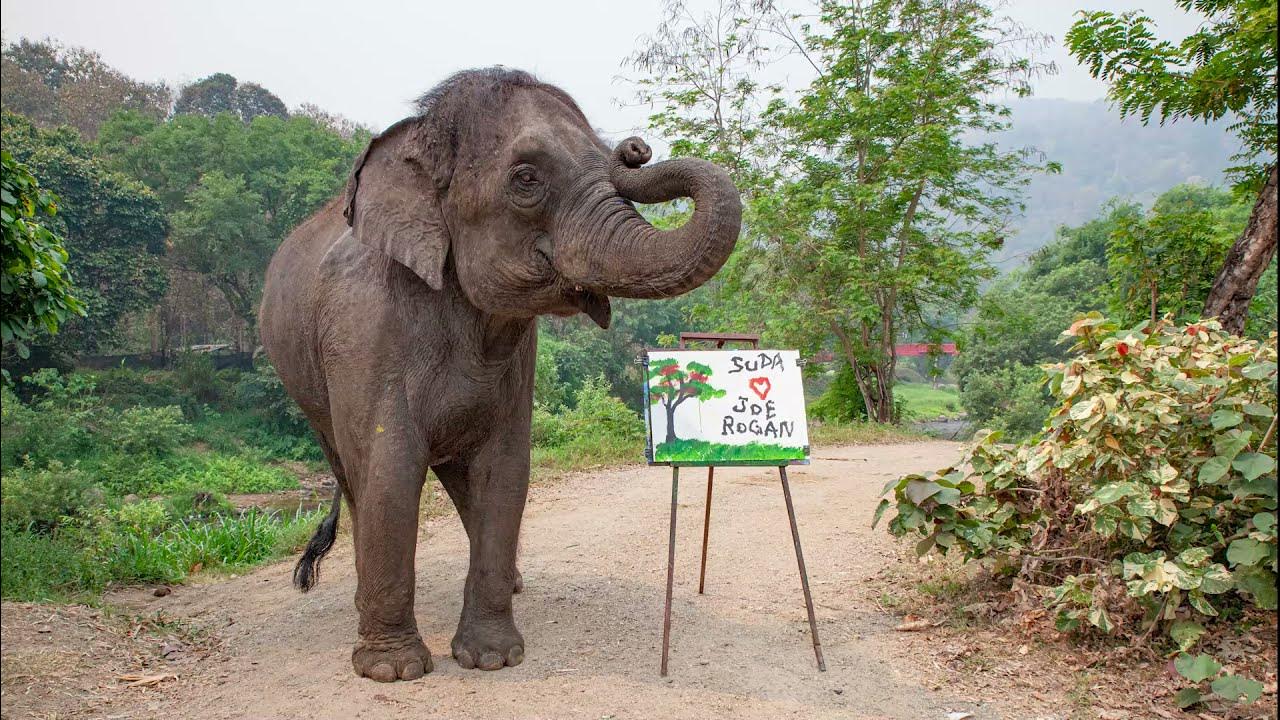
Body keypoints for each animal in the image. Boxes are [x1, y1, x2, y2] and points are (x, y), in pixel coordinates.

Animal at [258, 67, 741, 682]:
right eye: (526, 178)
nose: (635, 150)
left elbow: (506, 469)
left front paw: (492, 659)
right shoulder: (363, 326)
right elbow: (391, 468)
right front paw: (392, 670)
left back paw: (513, 584)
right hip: (308, 388)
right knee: (353, 474)